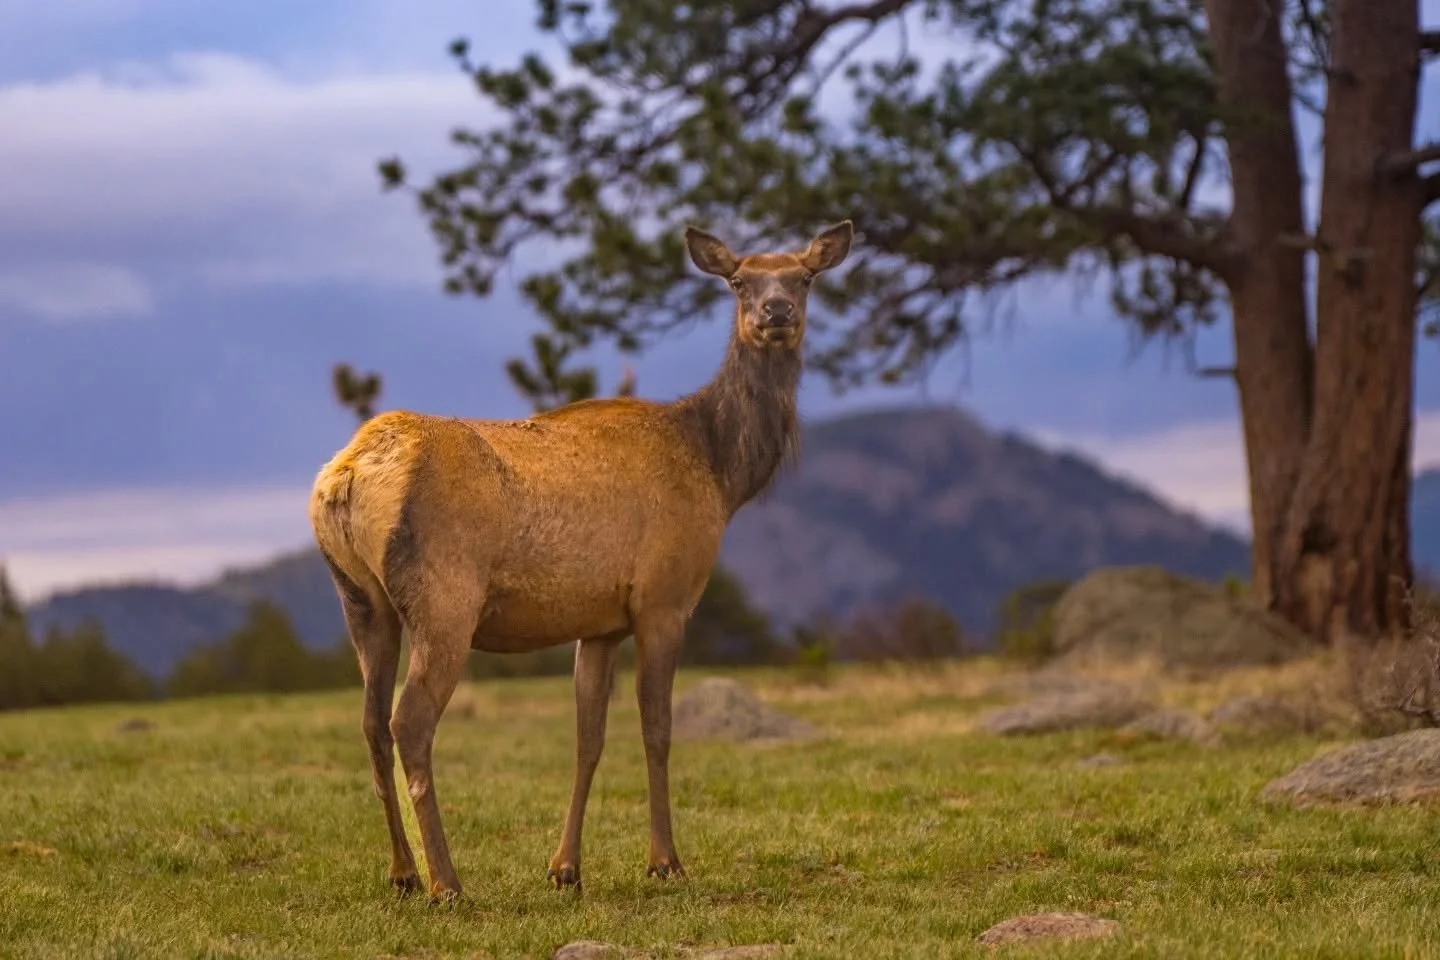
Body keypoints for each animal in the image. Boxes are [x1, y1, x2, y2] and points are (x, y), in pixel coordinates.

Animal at [308, 220, 853, 902]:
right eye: (738, 280)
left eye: (803, 277)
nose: (775, 313)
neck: (720, 475)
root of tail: (347, 477)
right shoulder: (665, 596)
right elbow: (657, 728)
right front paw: (665, 861)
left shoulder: (598, 624)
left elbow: (587, 738)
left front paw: (565, 867)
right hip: (445, 596)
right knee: (409, 722)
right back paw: (447, 882)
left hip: (360, 600)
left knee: (370, 722)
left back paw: (403, 872)